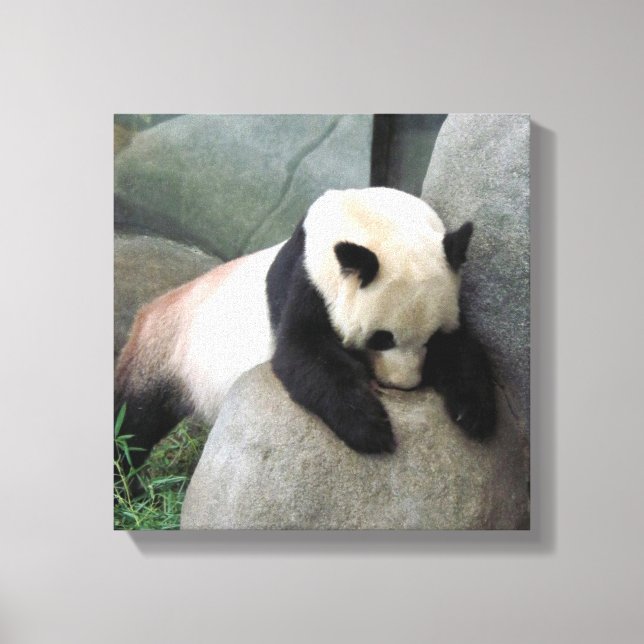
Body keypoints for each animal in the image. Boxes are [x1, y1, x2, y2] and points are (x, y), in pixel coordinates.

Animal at [115, 187, 496, 472]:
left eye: (432, 337)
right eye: (381, 338)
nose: (403, 385)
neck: (369, 215)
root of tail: (150, 309)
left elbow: (465, 347)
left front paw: (473, 412)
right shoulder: (308, 277)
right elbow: (303, 354)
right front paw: (370, 428)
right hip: (164, 354)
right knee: (132, 421)